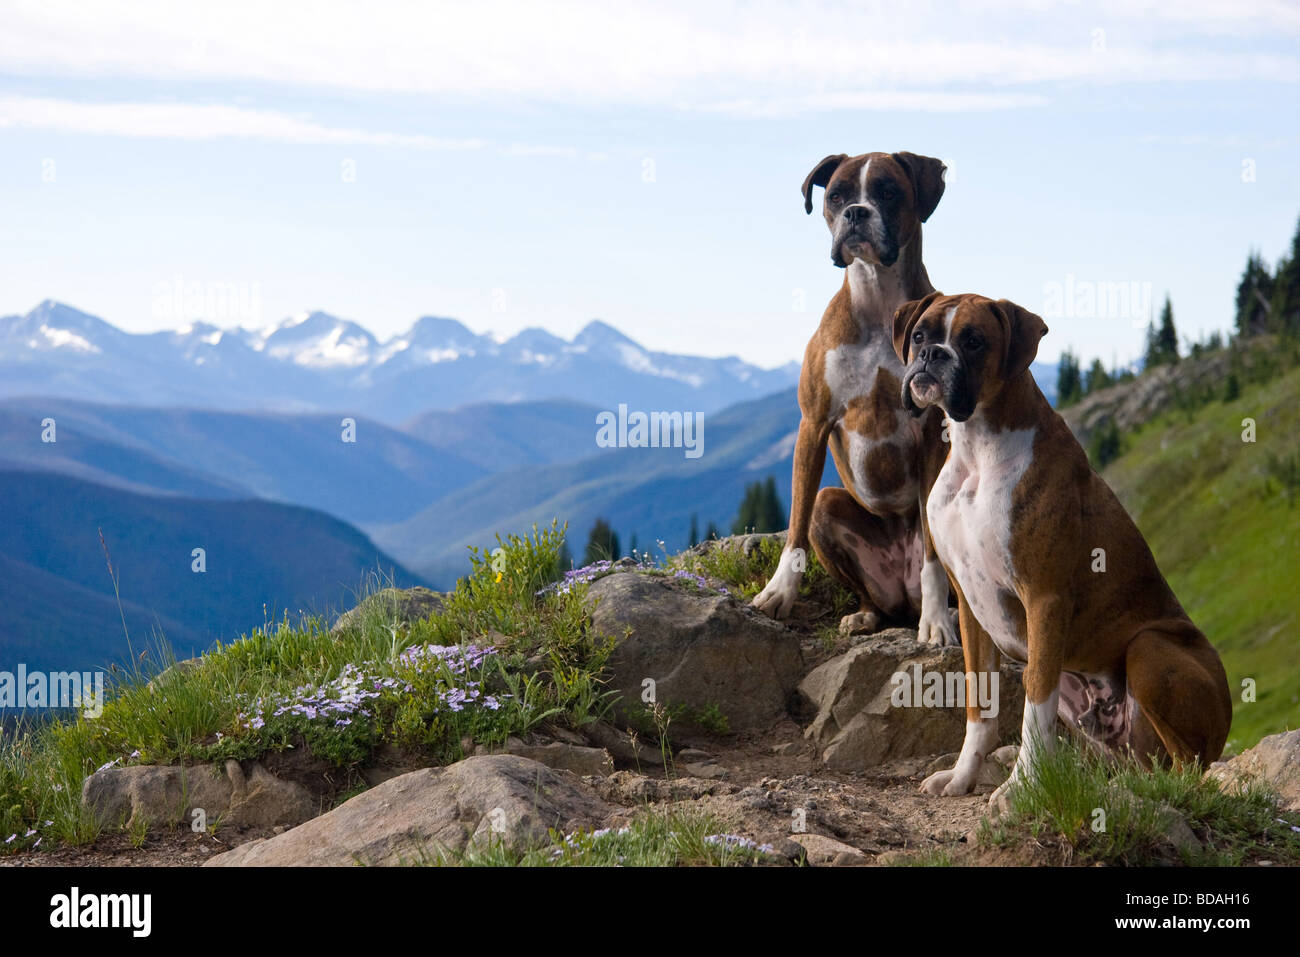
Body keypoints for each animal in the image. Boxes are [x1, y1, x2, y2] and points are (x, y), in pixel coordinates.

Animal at [754, 149, 956, 647]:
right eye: (837, 194)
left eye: (887, 191)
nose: (856, 213)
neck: (878, 301)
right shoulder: (813, 423)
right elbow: (794, 525)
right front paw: (778, 593)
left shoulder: (932, 435)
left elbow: (933, 557)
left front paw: (937, 623)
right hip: (831, 507)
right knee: (871, 596)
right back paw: (864, 616)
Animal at [894, 293, 1227, 806]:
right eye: (919, 335)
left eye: (973, 341)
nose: (932, 355)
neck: (977, 452)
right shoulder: (970, 605)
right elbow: (979, 704)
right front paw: (963, 775)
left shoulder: (1044, 601)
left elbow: (1034, 705)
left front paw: (1020, 790)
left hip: (1150, 649)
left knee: (1187, 767)